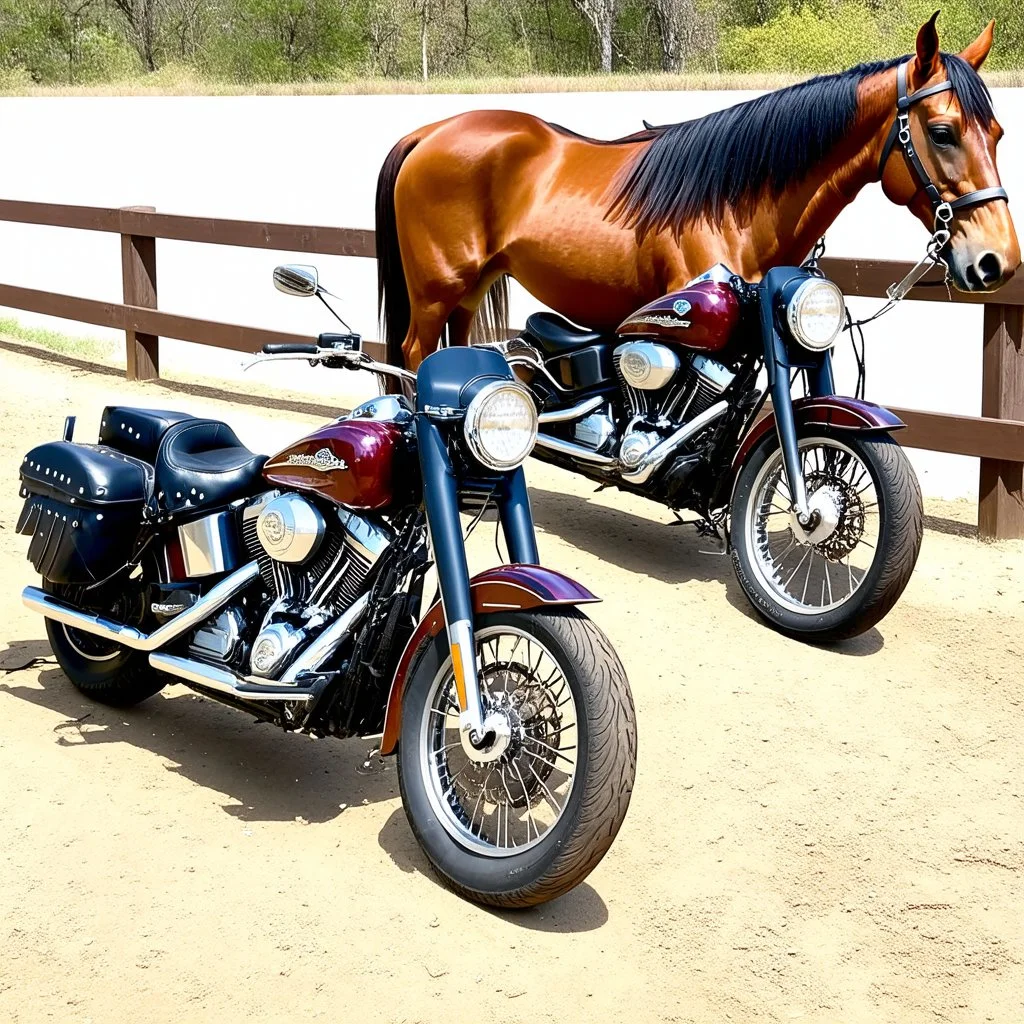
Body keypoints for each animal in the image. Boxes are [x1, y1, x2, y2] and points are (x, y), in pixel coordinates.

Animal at [376, 14, 1019, 370]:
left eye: (997, 133)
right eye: (943, 132)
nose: (998, 262)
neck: (735, 207)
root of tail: (429, 131)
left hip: (468, 290)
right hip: (433, 293)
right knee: (413, 357)